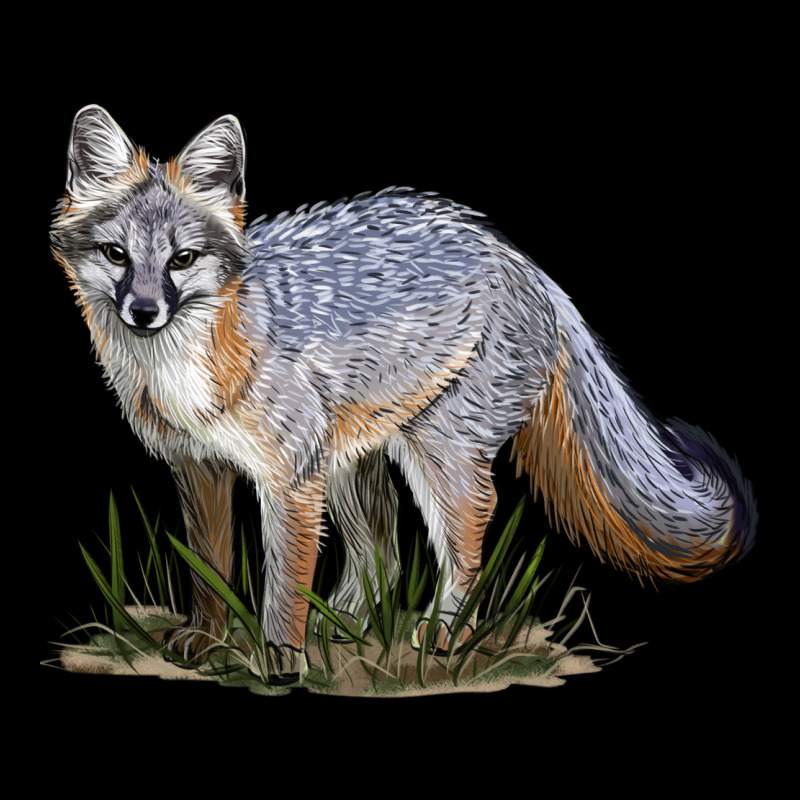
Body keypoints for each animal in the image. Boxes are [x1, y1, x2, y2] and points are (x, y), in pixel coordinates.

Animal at [51, 106, 756, 685]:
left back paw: (442, 632)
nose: (144, 311)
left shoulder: (289, 478)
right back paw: (345, 623)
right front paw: (207, 639)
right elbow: (210, 567)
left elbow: (283, 584)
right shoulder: (200, 466)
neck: (189, 371)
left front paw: (279, 658)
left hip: (433, 451)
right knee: (382, 556)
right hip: (351, 460)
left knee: (468, 532)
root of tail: (510, 251)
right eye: (116, 255)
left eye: (182, 259)